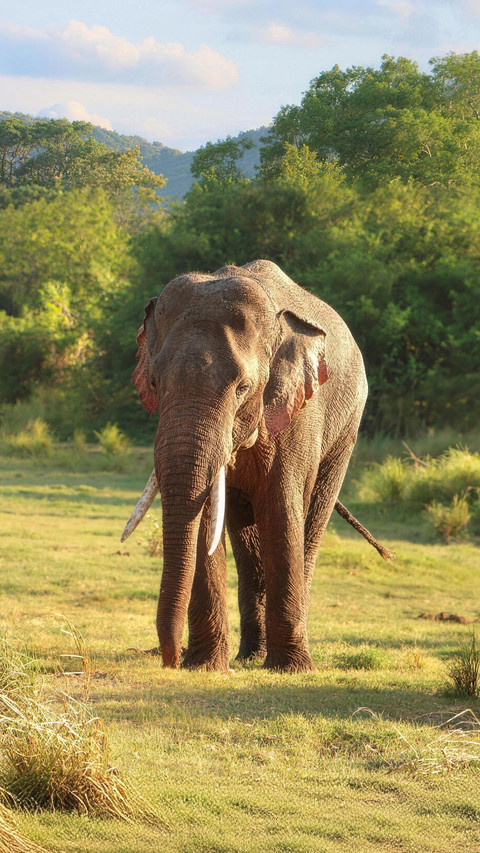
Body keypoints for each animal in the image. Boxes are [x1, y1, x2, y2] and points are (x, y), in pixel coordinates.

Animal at [122, 260, 391, 673]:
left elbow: (281, 509)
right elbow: (206, 518)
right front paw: (205, 667)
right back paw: (250, 655)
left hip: (346, 431)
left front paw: (292, 670)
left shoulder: (299, 414)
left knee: (313, 516)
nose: (170, 658)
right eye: (153, 382)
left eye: (243, 388)